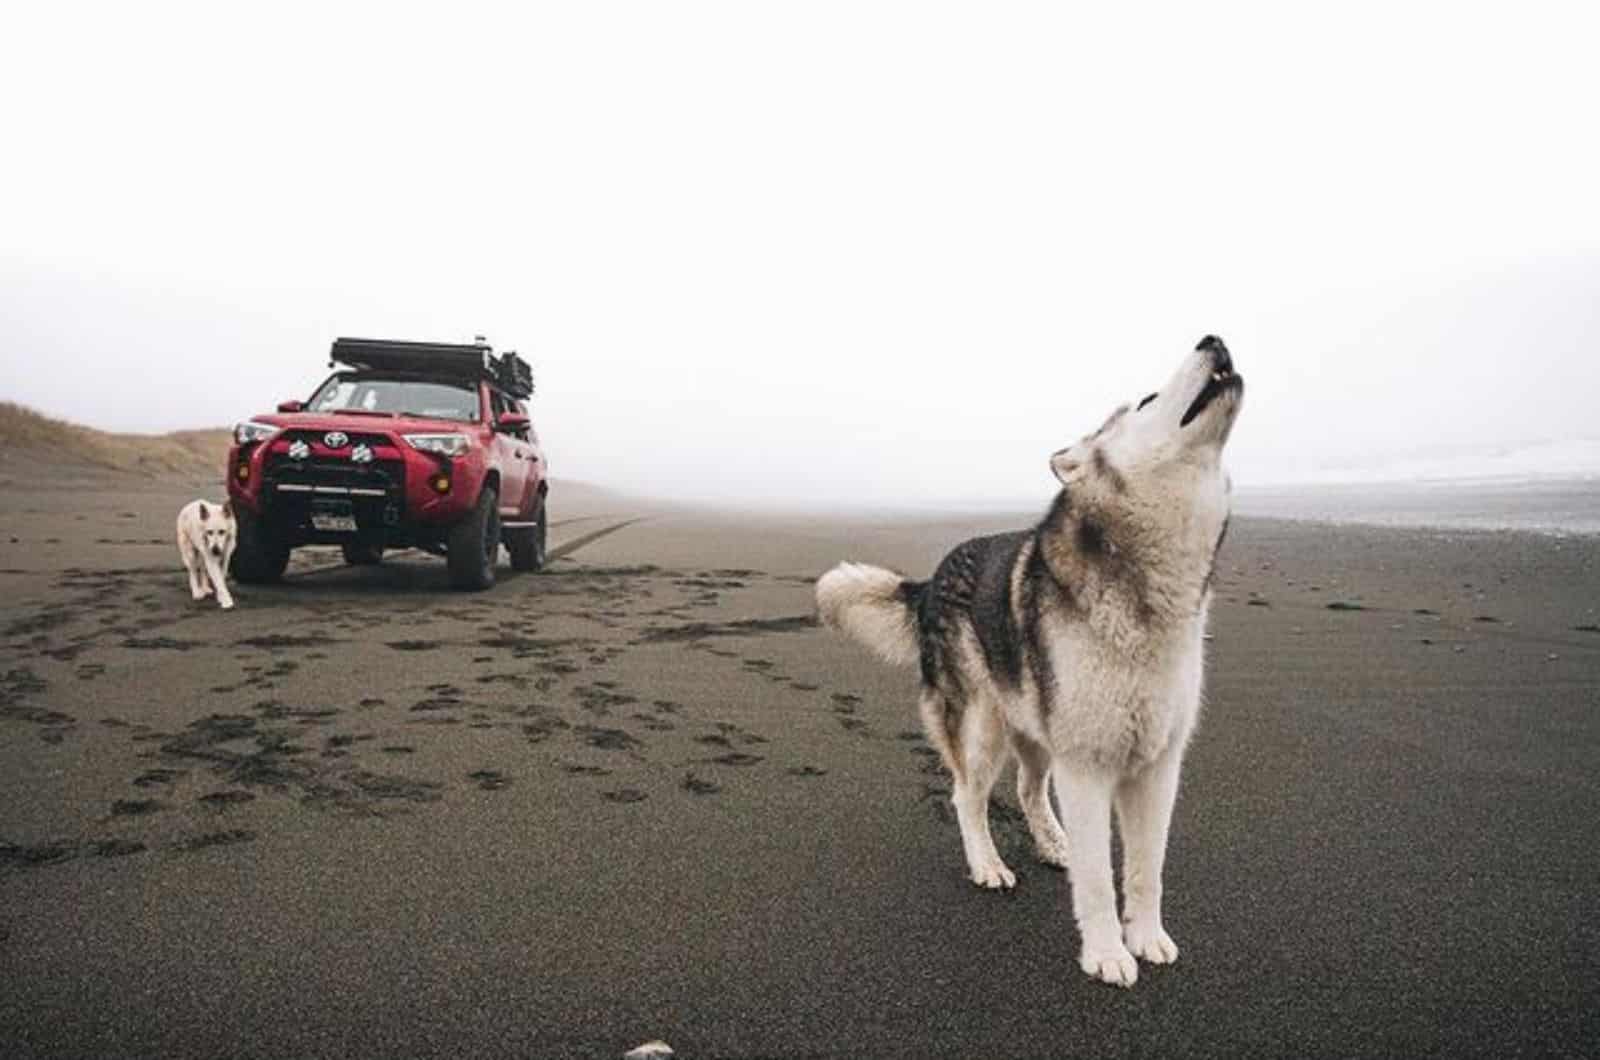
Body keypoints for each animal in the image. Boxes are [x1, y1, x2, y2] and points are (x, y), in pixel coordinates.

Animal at [819, 337, 1241, 986]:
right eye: (1149, 399)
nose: (1213, 340)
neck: (1150, 592)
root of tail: (930, 579)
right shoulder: (1088, 766)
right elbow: (1098, 881)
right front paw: (1106, 954)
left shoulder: (1157, 767)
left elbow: (1147, 870)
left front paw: (1147, 937)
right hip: (983, 729)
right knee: (966, 797)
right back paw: (988, 865)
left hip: (1037, 735)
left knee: (1026, 788)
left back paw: (1051, 843)